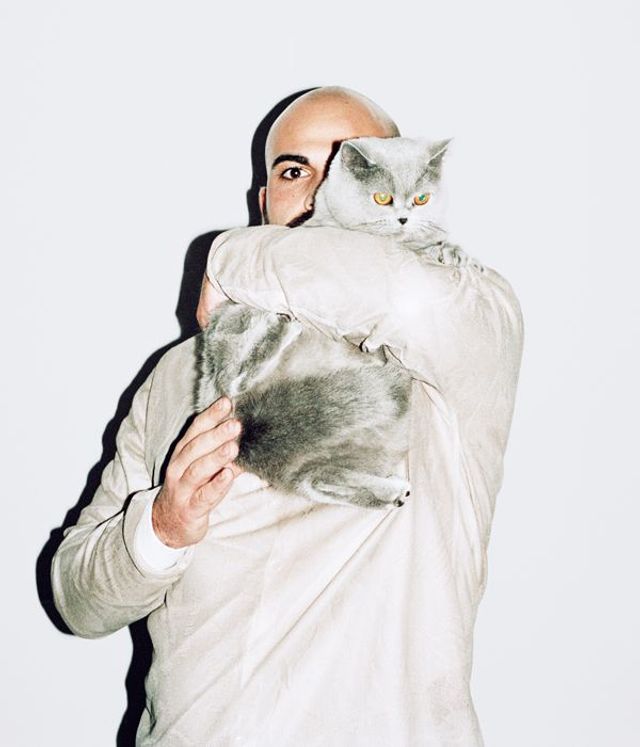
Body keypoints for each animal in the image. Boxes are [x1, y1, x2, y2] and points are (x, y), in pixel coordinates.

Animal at [194, 137, 479, 509]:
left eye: (422, 198)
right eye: (382, 197)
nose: (404, 217)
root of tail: (249, 429)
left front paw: (454, 252)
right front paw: (440, 251)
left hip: (336, 451)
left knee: (315, 479)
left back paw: (391, 493)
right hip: (233, 321)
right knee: (233, 378)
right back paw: (283, 326)